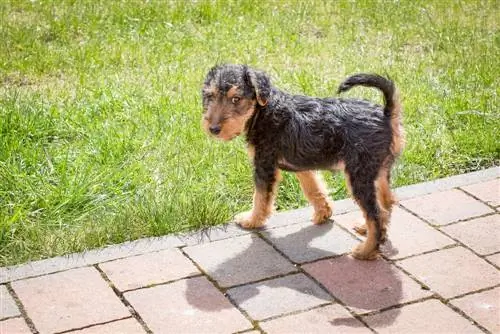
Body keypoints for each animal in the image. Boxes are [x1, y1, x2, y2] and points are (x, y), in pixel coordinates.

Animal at [201, 64, 404, 260]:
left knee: (376, 214)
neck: (263, 111)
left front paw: (251, 220)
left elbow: (260, 198)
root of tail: (386, 114)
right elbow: (314, 189)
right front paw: (323, 212)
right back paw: (366, 228)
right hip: (378, 171)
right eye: (210, 96)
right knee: (386, 203)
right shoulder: (302, 164)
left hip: (359, 175)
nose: (213, 129)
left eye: (236, 99)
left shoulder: (264, 164)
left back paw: (366, 250)